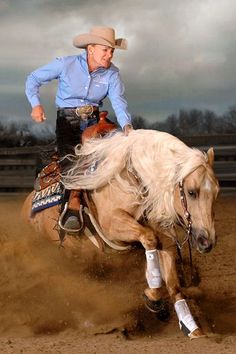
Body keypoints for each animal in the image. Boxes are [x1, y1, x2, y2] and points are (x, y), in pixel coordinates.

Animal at [22, 129, 219, 338]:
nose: (207, 241)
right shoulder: (113, 224)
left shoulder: (165, 240)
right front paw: (153, 294)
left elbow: (174, 285)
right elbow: (149, 238)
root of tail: (27, 205)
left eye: (216, 192)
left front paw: (192, 327)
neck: (138, 181)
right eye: (191, 192)